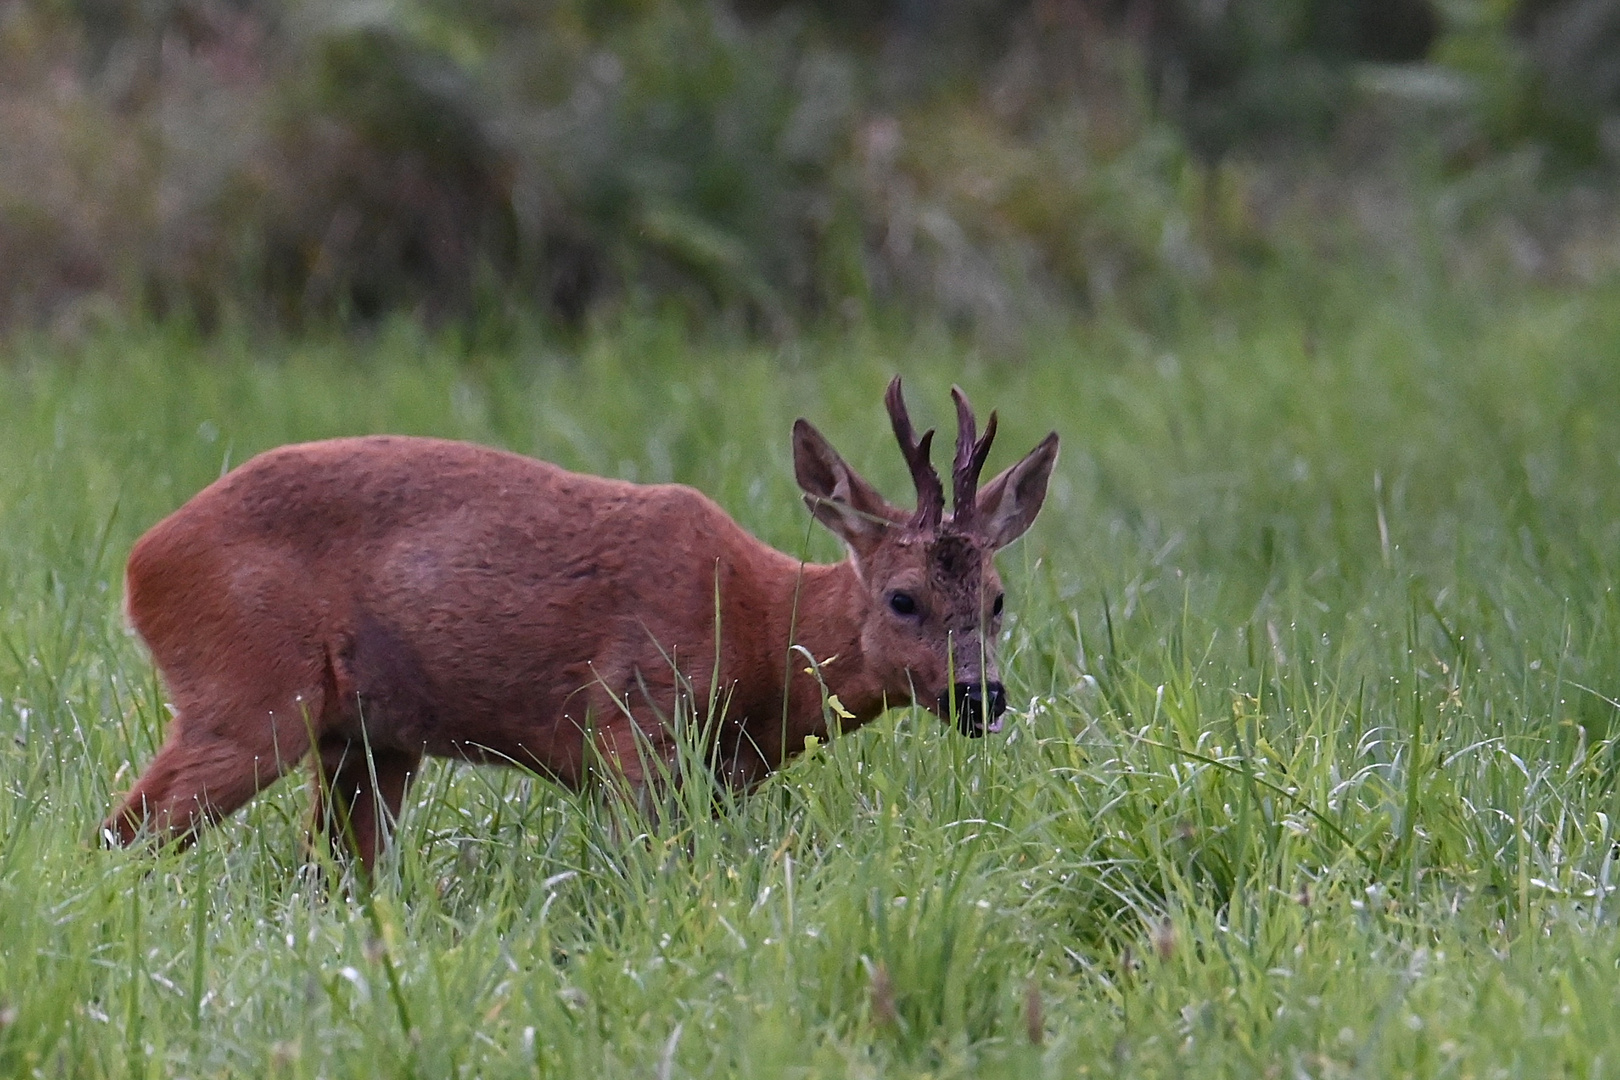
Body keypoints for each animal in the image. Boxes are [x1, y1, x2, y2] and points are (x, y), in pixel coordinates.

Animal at [104, 380, 1062, 867]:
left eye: (998, 598)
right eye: (902, 598)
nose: (981, 697)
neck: (758, 635)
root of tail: (140, 565)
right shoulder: (635, 724)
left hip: (365, 742)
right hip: (250, 696)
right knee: (123, 835)